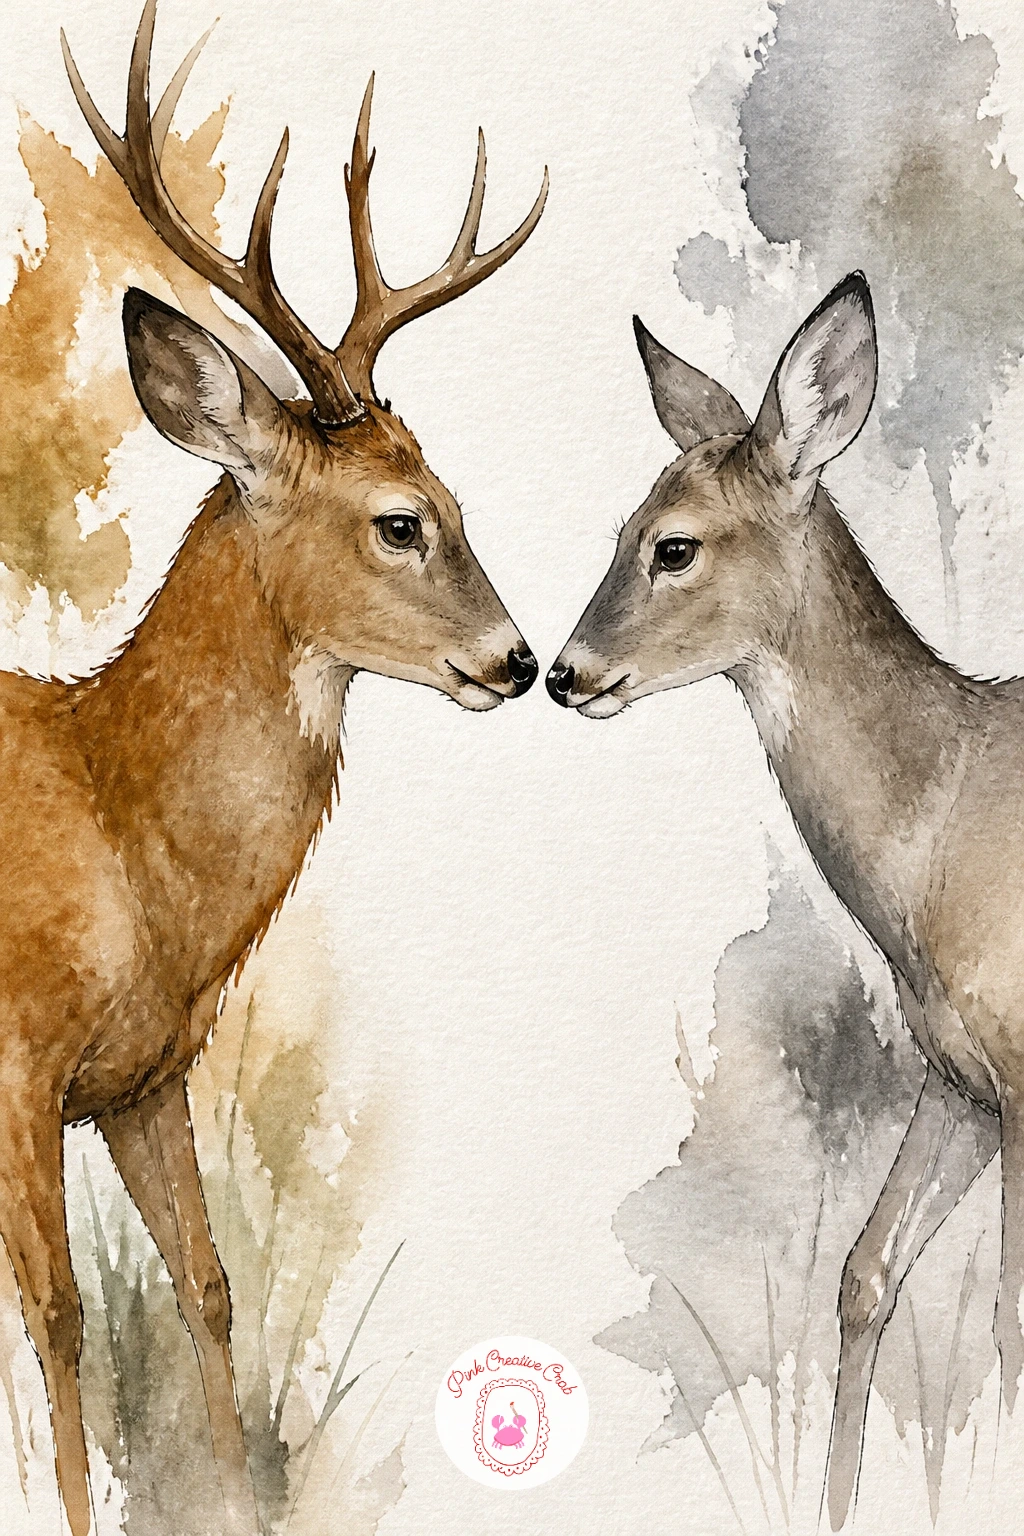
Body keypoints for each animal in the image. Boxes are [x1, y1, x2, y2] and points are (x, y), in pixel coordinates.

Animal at [0, 2, 547, 1531]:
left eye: (458, 499)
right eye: (401, 520)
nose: (518, 659)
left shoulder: (141, 1078)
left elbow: (207, 1288)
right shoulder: (18, 1063)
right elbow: (60, 1315)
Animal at [547, 271, 1024, 1526]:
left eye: (673, 545)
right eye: (620, 528)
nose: (564, 673)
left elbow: (1006, 1309)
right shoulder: (958, 1079)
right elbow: (865, 1275)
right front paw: (838, 1506)